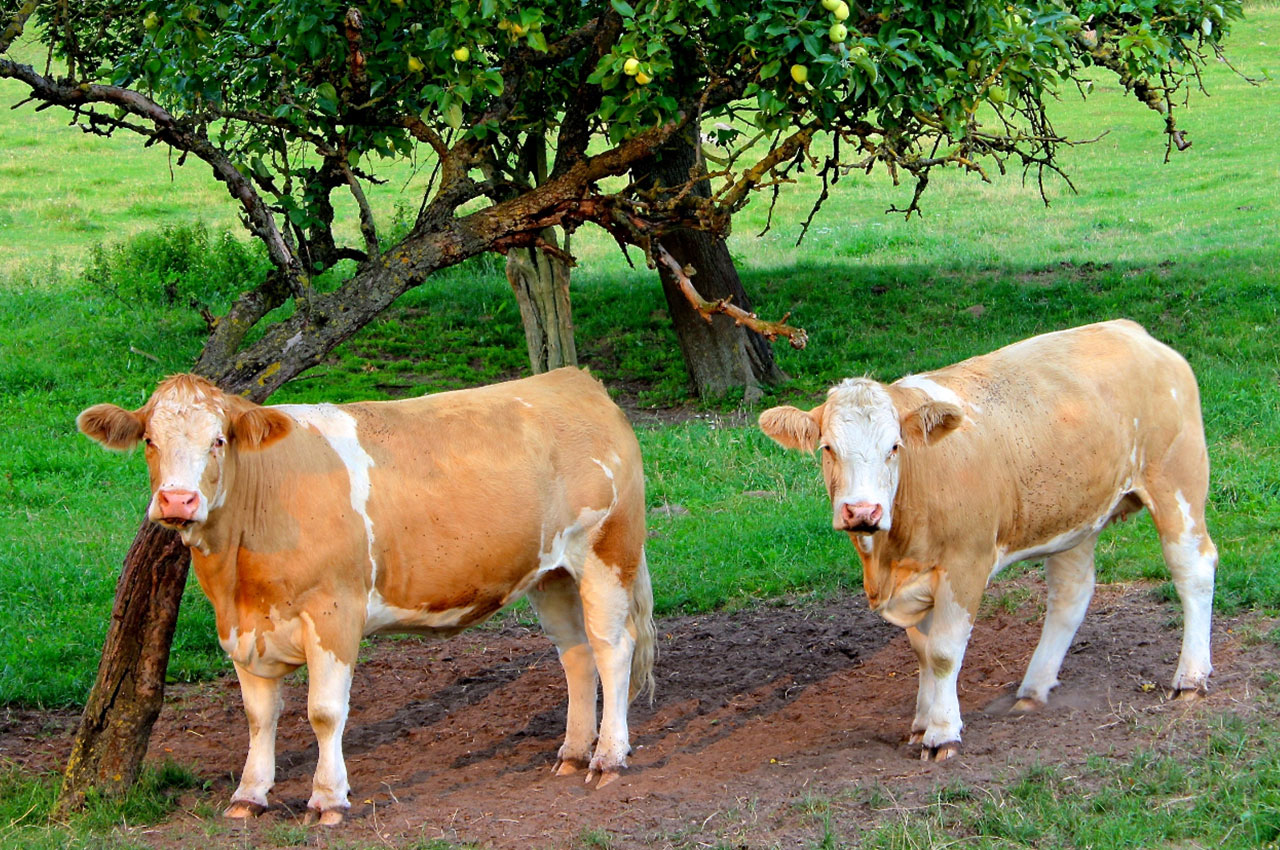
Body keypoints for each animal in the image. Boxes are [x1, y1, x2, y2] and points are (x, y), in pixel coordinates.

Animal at [78, 371, 655, 824]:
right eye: (149, 440)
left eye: (219, 440)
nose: (178, 500)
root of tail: (573, 379)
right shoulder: (241, 629)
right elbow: (258, 716)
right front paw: (249, 795)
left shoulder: (334, 611)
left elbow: (325, 712)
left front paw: (328, 798)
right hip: (550, 573)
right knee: (576, 655)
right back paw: (574, 752)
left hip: (607, 552)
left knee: (612, 649)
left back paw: (608, 757)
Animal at [757, 322, 1218, 757]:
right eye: (828, 448)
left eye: (895, 447)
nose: (862, 512)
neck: (890, 559)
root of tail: (1128, 329)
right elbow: (922, 652)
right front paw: (921, 723)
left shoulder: (965, 563)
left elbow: (943, 652)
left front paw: (942, 733)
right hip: (1076, 514)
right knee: (1071, 593)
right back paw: (1034, 688)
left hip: (1177, 479)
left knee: (1193, 569)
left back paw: (1191, 677)